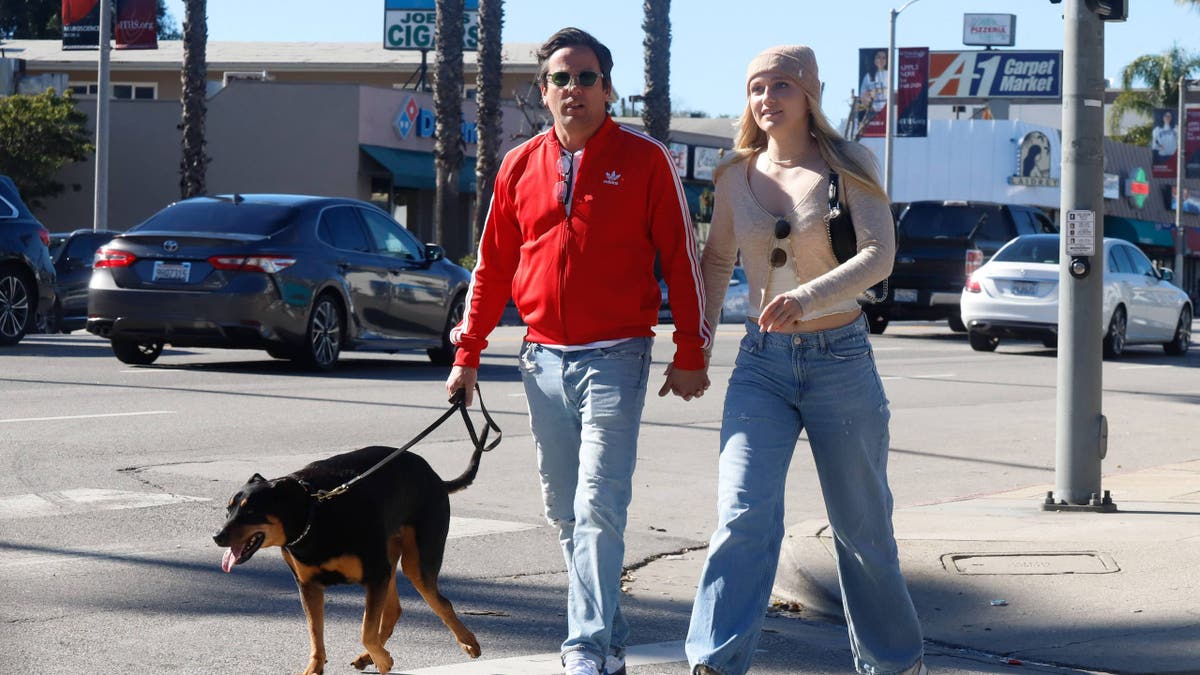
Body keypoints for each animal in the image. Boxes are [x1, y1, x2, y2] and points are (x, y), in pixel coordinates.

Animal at [216, 444, 482, 667]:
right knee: (393, 610)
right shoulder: (308, 585)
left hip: (415, 562)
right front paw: (315, 669)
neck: (314, 515)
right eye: (228, 510)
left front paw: (383, 660)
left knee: (440, 602)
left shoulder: (375, 576)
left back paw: (468, 642)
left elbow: (367, 632)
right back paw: (368, 657)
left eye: (251, 512)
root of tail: (436, 477)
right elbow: (316, 636)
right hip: (389, 557)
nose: (217, 536)